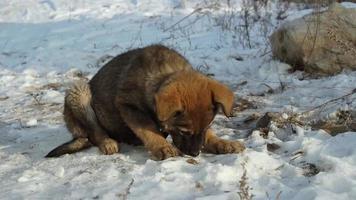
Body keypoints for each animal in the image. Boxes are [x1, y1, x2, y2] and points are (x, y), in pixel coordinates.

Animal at [46, 44, 245, 160]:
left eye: (206, 127)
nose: (195, 154)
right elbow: (148, 128)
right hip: (79, 91)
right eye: (183, 131)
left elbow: (209, 134)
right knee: (95, 132)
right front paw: (163, 147)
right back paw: (107, 142)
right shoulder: (127, 106)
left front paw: (222, 142)